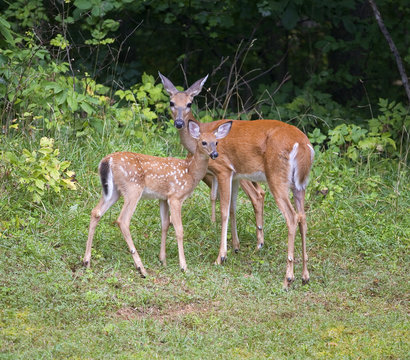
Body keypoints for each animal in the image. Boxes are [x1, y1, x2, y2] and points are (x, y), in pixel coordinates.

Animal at [83, 121, 232, 276]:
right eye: (203, 142)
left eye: (216, 142)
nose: (214, 154)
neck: (190, 172)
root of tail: (107, 160)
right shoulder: (175, 197)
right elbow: (179, 229)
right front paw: (183, 266)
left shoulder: (163, 198)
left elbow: (165, 224)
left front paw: (163, 260)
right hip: (133, 188)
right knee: (123, 220)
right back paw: (141, 268)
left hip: (114, 191)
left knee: (96, 212)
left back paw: (86, 261)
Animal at [159, 72, 316, 286]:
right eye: (172, 102)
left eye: (190, 103)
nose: (179, 123)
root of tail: (302, 145)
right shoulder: (235, 175)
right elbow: (233, 208)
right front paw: (235, 247)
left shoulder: (224, 169)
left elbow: (224, 210)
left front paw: (221, 257)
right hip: (300, 184)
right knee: (303, 218)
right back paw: (305, 275)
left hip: (277, 177)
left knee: (292, 217)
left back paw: (288, 277)